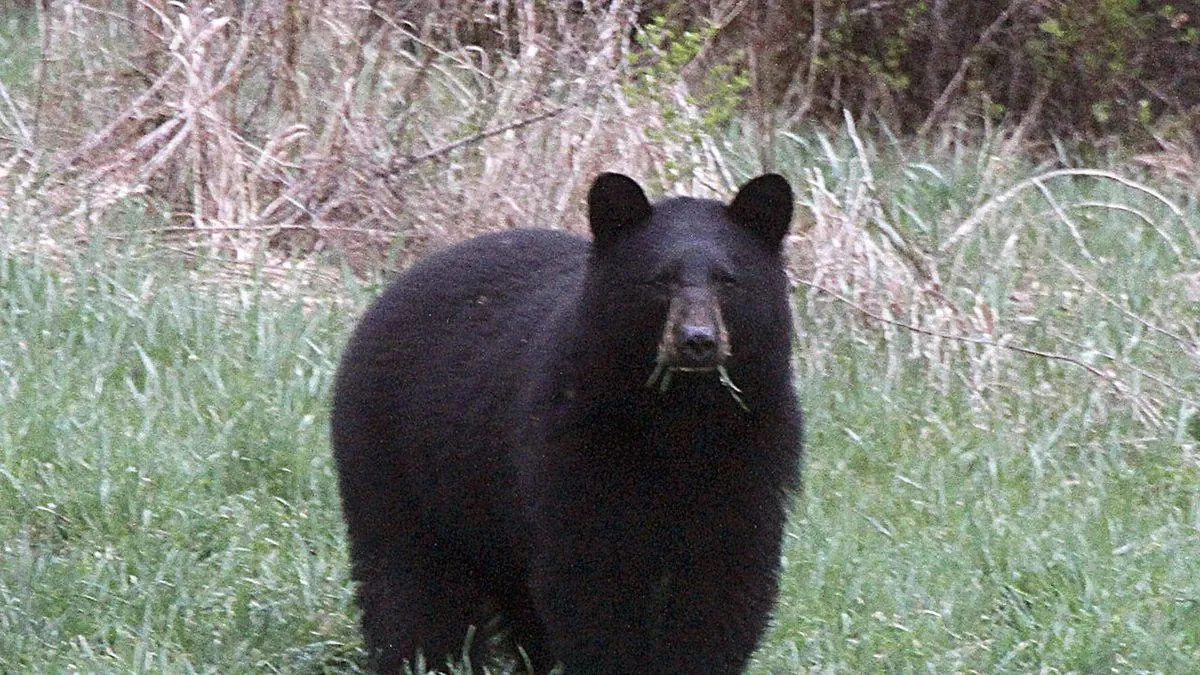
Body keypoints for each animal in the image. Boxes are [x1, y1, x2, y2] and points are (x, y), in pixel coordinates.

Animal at [328, 172, 806, 672]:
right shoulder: (574, 445)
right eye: (660, 279)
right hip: (394, 453)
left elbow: (723, 585)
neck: (679, 418)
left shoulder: (752, 453)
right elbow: (590, 584)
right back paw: (420, 656)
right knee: (410, 577)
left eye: (727, 280)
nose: (697, 340)